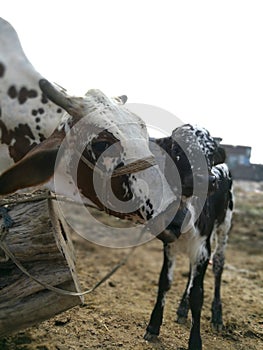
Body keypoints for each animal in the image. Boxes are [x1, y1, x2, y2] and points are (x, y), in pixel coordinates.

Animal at [145, 126, 234, 350]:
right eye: (178, 149)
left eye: (211, 154)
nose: (208, 180)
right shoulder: (170, 246)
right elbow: (165, 282)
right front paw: (153, 326)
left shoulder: (203, 250)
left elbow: (197, 294)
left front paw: (195, 341)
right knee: (191, 273)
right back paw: (182, 309)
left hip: (225, 224)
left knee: (218, 264)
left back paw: (217, 315)